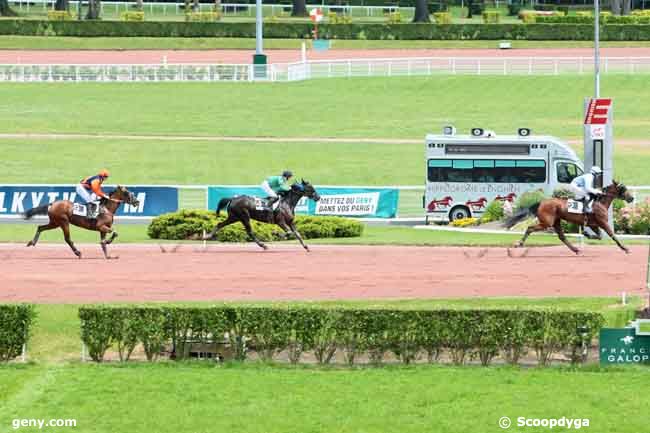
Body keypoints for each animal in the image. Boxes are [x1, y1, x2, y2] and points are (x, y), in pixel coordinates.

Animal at [504, 181, 632, 255]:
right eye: (623, 189)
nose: (632, 198)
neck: (600, 202)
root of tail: (541, 202)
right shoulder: (603, 223)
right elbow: (613, 235)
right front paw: (625, 248)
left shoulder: (593, 224)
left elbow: (599, 236)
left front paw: (586, 234)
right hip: (547, 222)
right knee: (530, 228)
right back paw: (519, 243)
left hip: (556, 221)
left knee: (562, 236)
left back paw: (576, 250)